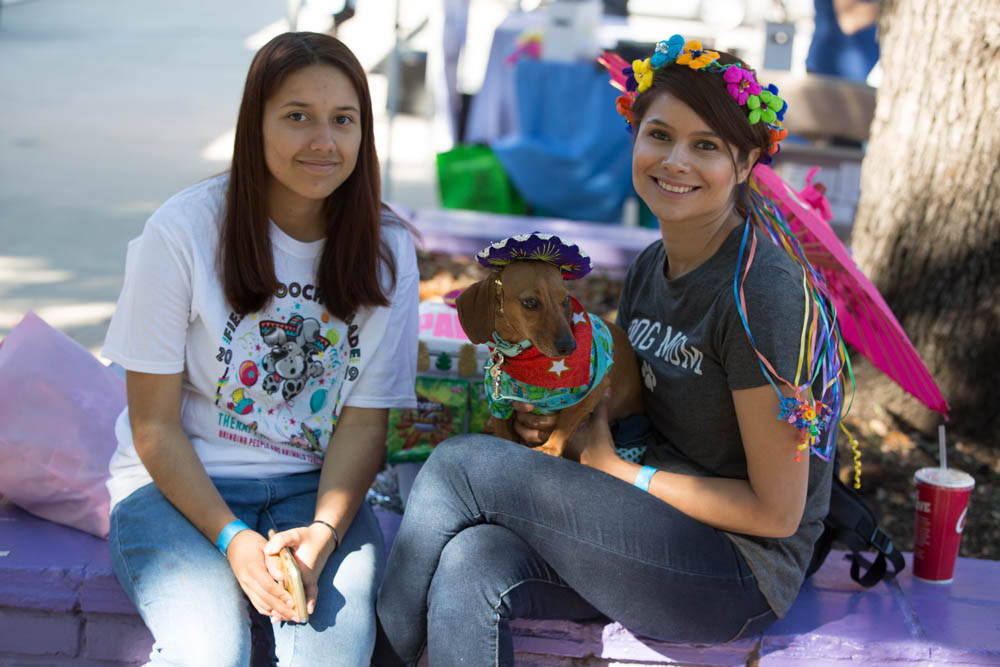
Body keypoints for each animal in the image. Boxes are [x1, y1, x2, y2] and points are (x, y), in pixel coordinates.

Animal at [458, 234, 644, 460]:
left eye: (565, 299)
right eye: (530, 302)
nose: (569, 347)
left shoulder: (596, 388)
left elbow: (566, 422)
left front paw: (550, 448)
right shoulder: (499, 404)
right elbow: (504, 434)